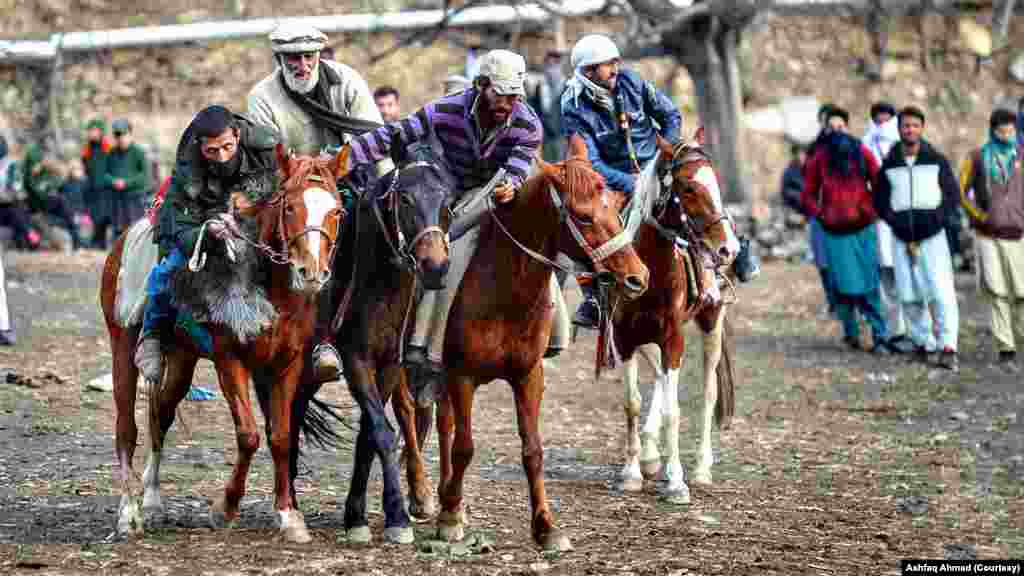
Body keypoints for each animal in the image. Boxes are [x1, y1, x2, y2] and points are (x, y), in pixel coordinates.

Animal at [101, 145, 346, 541]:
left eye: (336, 210)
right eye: (290, 207)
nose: (311, 273)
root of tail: (122, 242)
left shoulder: (288, 363)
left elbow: (281, 436)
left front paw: (289, 516)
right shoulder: (231, 360)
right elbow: (248, 435)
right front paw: (226, 508)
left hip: (182, 358)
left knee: (161, 414)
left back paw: (151, 499)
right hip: (121, 344)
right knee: (127, 427)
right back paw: (129, 513)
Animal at [432, 132, 647, 549]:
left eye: (614, 206)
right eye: (583, 216)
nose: (637, 277)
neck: (502, 290)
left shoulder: (528, 375)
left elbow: (533, 449)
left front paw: (546, 525)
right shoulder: (460, 376)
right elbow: (464, 446)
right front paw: (449, 516)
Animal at [610, 134, 741, 502]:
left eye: (715, 183)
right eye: (689, 187)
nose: (729, 248)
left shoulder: (672, 337)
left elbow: (674, 409)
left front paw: (677, 481)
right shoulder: (622, 337)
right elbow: (631, 402)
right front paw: (631, 473)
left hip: (711, 322)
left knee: (708, 392)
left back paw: (700, 468)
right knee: (657, 378)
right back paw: (650, 456)